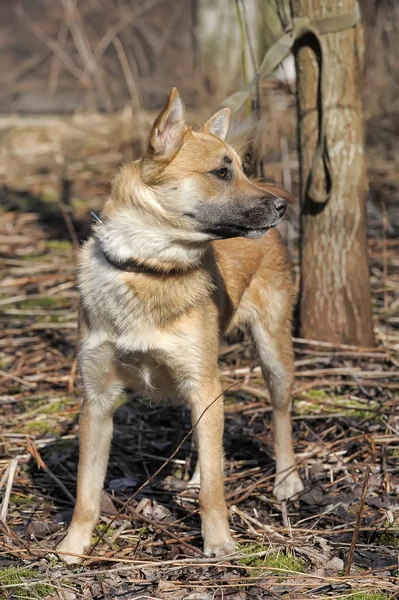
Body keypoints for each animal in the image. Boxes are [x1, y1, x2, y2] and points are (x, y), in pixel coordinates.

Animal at [57, 88, 304, 564]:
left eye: (239, 168)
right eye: (222, 172)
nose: (283, 206)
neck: (149, 267)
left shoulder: (204, 383)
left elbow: (215, 489)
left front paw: (219, 543)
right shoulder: (97, 400)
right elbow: (85, 491)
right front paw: (71, 549)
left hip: (272, 353)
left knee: (279, 414)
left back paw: (286, 480)